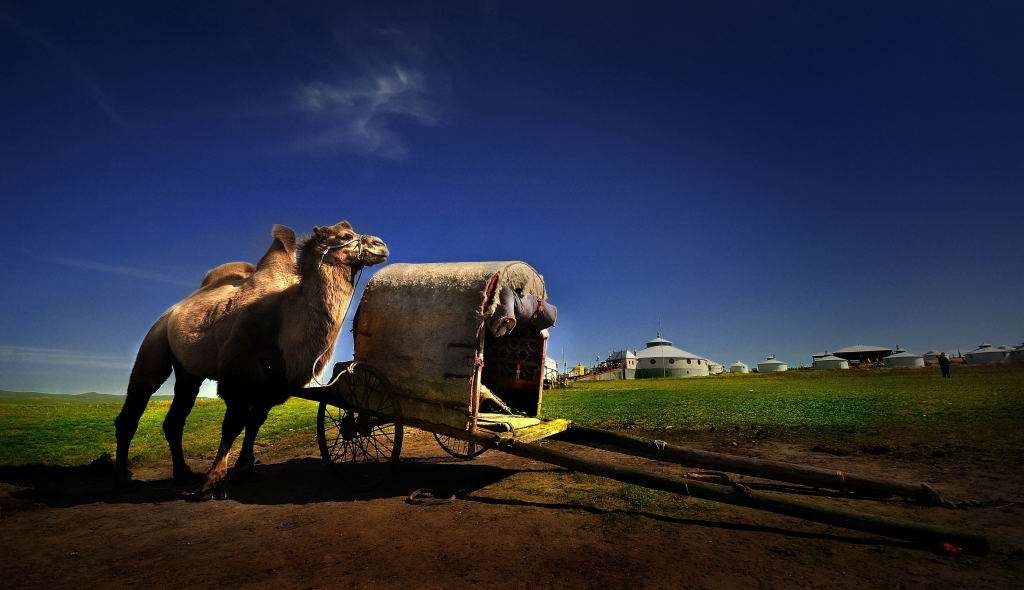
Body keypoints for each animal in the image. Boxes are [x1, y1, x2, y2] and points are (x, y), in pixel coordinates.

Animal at [114, 221, 387, 497]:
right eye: (344, 236)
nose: (381, 245)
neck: (286, 318)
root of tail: (171, 312)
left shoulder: (276, 384)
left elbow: (255, 422)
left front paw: (244, 471)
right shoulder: (238, 374)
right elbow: (233, 424)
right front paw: (213, 482)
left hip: (188, 371)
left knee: (176, 418)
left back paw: (182, 474)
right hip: (155, 344)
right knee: (135, 405)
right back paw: (123, 480)